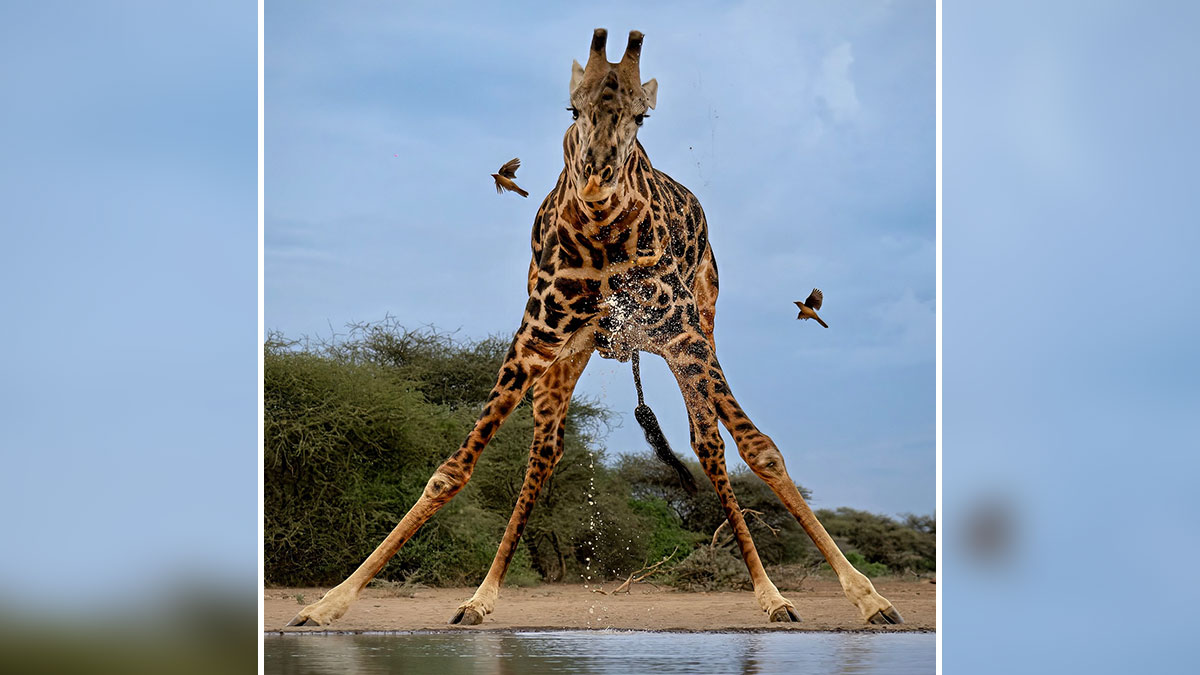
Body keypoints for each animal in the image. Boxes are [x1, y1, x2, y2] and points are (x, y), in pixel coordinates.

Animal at [287, 28, 903, 628]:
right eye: (573, 108)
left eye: (642, 116)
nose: (597, 179)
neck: (605, 235)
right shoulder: (534, 338)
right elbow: (451, 470)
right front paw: (327, 603)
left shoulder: (684, 336)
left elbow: (732, 448)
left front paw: (806, 596)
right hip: (570, 358)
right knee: (546, 453)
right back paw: (480, 598)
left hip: (702, 327)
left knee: (737, 444)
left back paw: (833, 597)